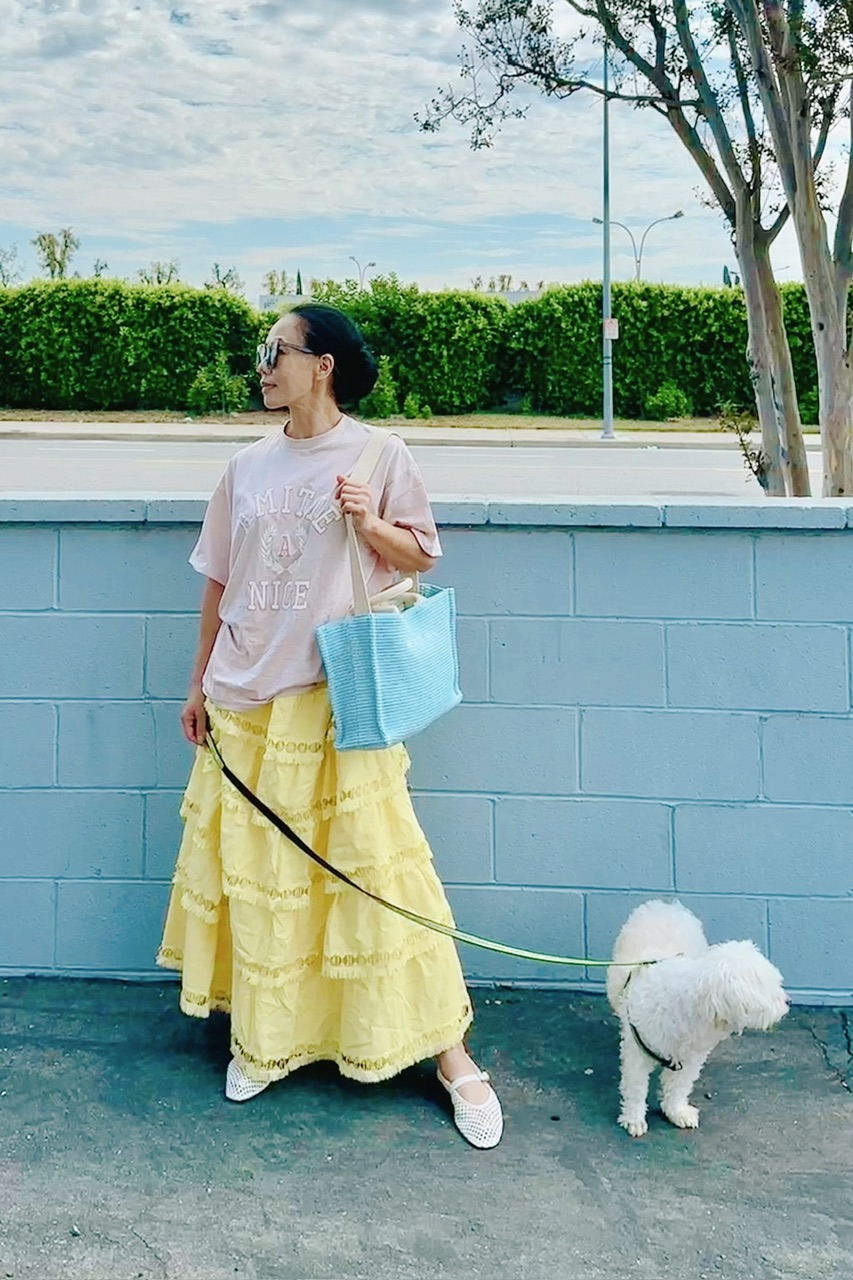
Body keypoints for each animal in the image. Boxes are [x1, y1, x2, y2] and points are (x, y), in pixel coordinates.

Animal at [604, 901, 783, 1141]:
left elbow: (679, 1086)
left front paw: (676, 1112)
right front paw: (633, 1119)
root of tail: (666, 904)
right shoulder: (637, 1051)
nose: (788, 1001)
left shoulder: (689, 1058)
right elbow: (636, 1087)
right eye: (771, 990)